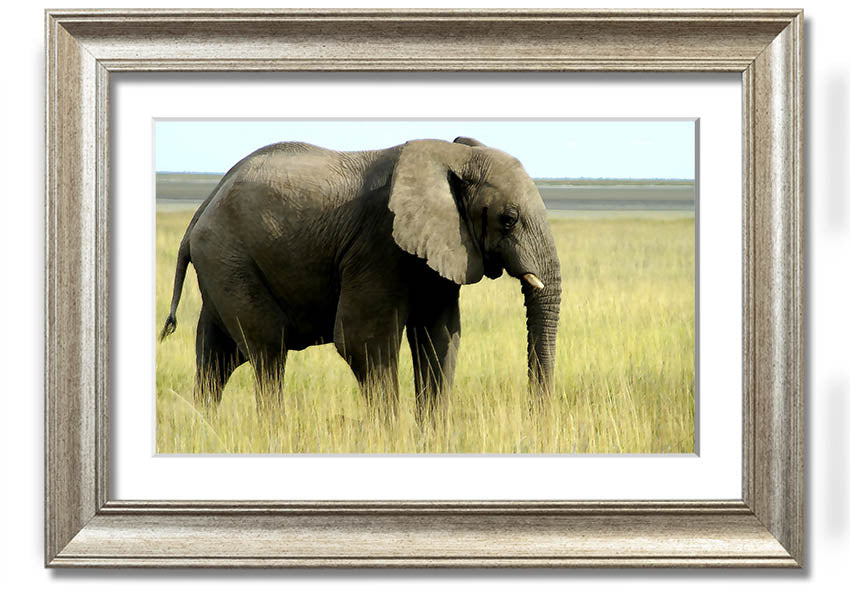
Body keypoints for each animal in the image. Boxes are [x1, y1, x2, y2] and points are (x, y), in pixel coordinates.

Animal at [159, 136, 561, 418]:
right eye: (508, 220)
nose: (534, 420)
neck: (451, 155)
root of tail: (200, 211)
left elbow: (440, 337)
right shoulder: (378, 242)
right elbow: (363, 342)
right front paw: (392, 439)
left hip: (222, 267)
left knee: (217, 357)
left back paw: (207, 429)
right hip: (230, 260)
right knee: (268, 350)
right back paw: (271, 431)